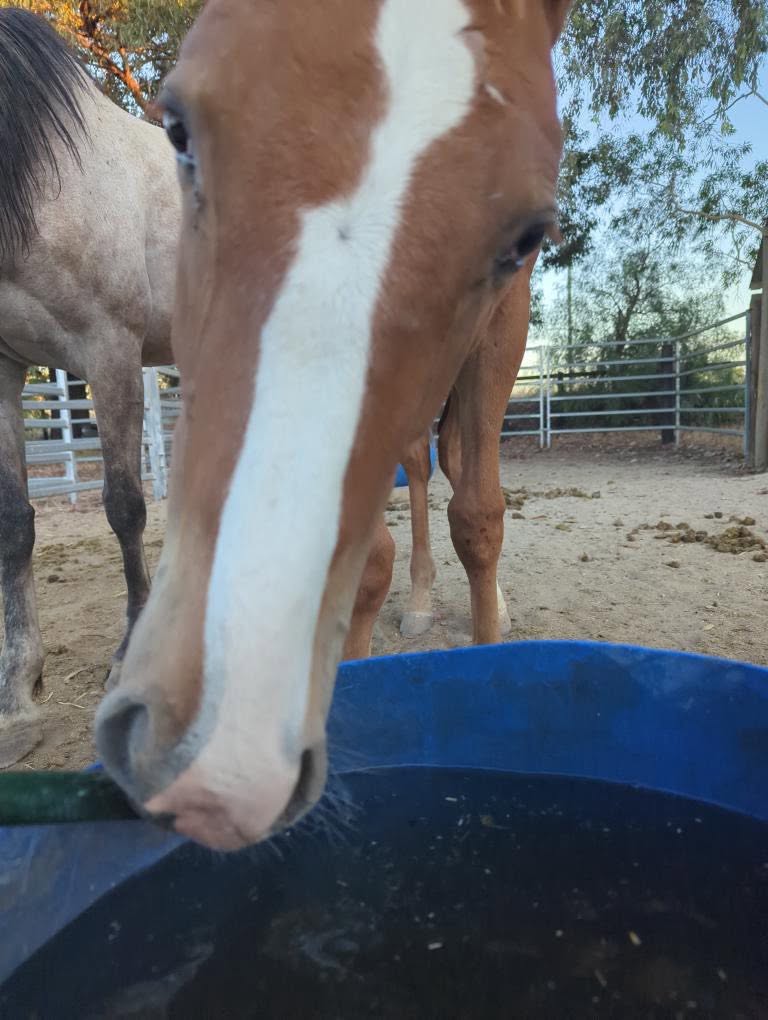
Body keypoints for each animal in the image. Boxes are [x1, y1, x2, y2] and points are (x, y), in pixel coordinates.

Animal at [96, 0, 568, 851]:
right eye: (177, 130)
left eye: (526, 236)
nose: (222, 753)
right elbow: (375, 554)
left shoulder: (501, 328)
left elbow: (478, 517)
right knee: (417, 471)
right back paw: (416, 602)